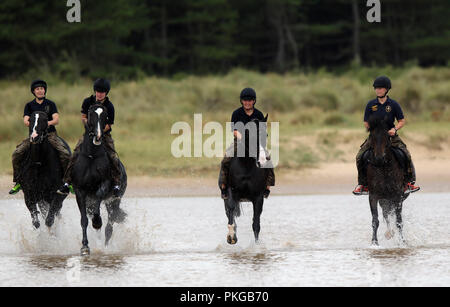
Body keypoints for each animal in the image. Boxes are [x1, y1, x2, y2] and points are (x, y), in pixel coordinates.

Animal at [71, 104, 126, 256]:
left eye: (105, 116)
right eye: (91, 115)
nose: (98, 136)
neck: (92, 156)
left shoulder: (104, 185)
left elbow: (99, 199)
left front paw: (97, 222)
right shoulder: (80, 191)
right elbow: (84, 221)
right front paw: (85, 247)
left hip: (114, 201)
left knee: (109, 227)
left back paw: (105, 248)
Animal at [223, 115, 268, 245]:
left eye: (266, 135)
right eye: (251, 136)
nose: (263, 160)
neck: (246, 166)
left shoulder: (258, 197)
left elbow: (256, 224)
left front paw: (257, 246)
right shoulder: (232, 191)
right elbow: (231, 210)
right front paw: (231, 237)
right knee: (229, 212)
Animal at [368, 115, 410, 248]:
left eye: (387, 136)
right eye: (372, 136)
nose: (379, 159)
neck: (384, 169)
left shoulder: (397, 196)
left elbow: (399, 221)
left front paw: (402, 242)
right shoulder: (373, 196)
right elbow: (375, 220)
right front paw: (374, 243)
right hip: (384, 200)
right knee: (386, 215)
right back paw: (389, 234)